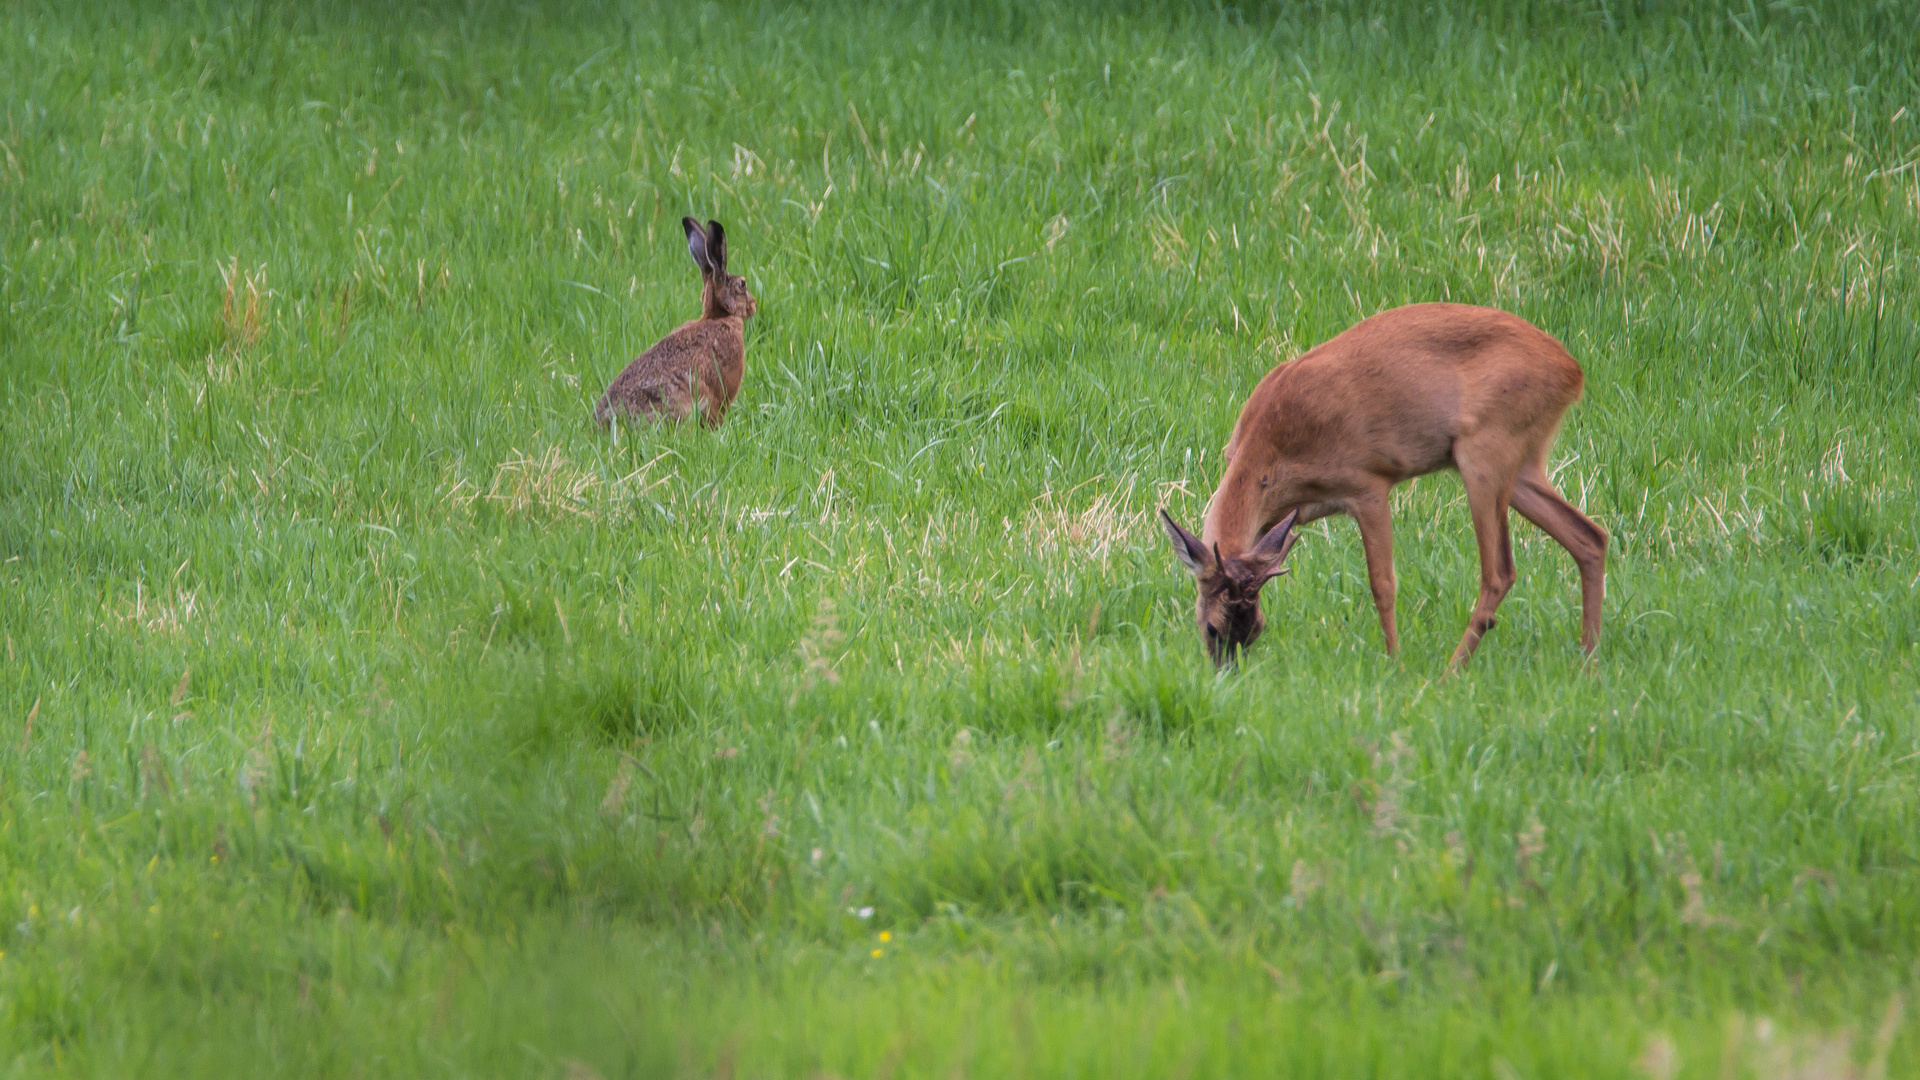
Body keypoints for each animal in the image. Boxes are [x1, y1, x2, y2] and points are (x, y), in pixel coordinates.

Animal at [1159, 303, 1612, 668]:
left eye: (1253, 629)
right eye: (1215, 628)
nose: (1227, 674)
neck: (1272, 453)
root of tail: (1573, 371)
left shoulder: (1367, 483)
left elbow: (1383, 584)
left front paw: (1394, 661)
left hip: (1485, 452)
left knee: (1500, 570)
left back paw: (1450, 672)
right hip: (1523, 465)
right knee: (1589, 535)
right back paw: (1588, 662)